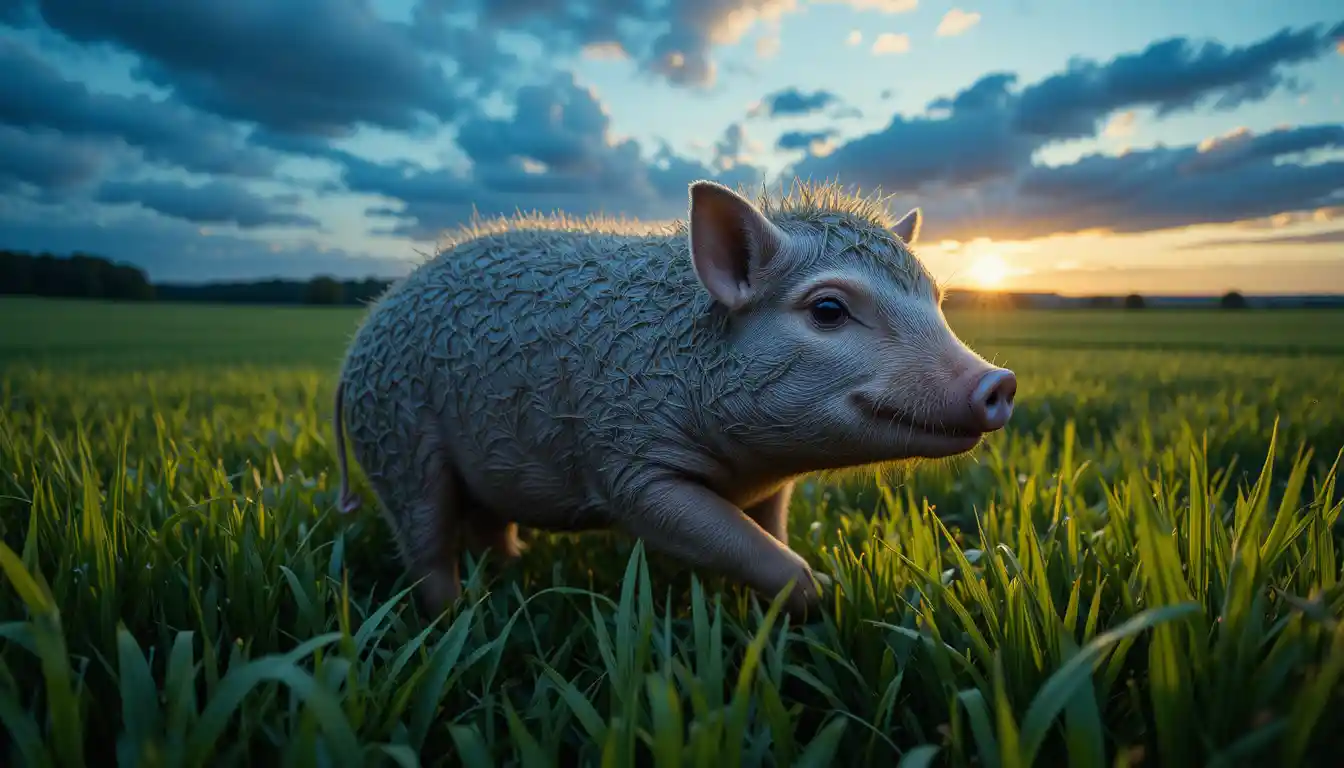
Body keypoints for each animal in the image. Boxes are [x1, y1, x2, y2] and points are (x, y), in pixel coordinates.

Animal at [332, 179, 1017, 619]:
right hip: (396, 443)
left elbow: (772, 531)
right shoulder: (631, 468)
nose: (999, 380)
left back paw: (508, 586)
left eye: (936, 299)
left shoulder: (772, 486)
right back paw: (456, 618)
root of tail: (359, 339)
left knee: (489, 532)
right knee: (427, 548)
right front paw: (823, 588)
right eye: (827, 310)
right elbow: (741, 543)